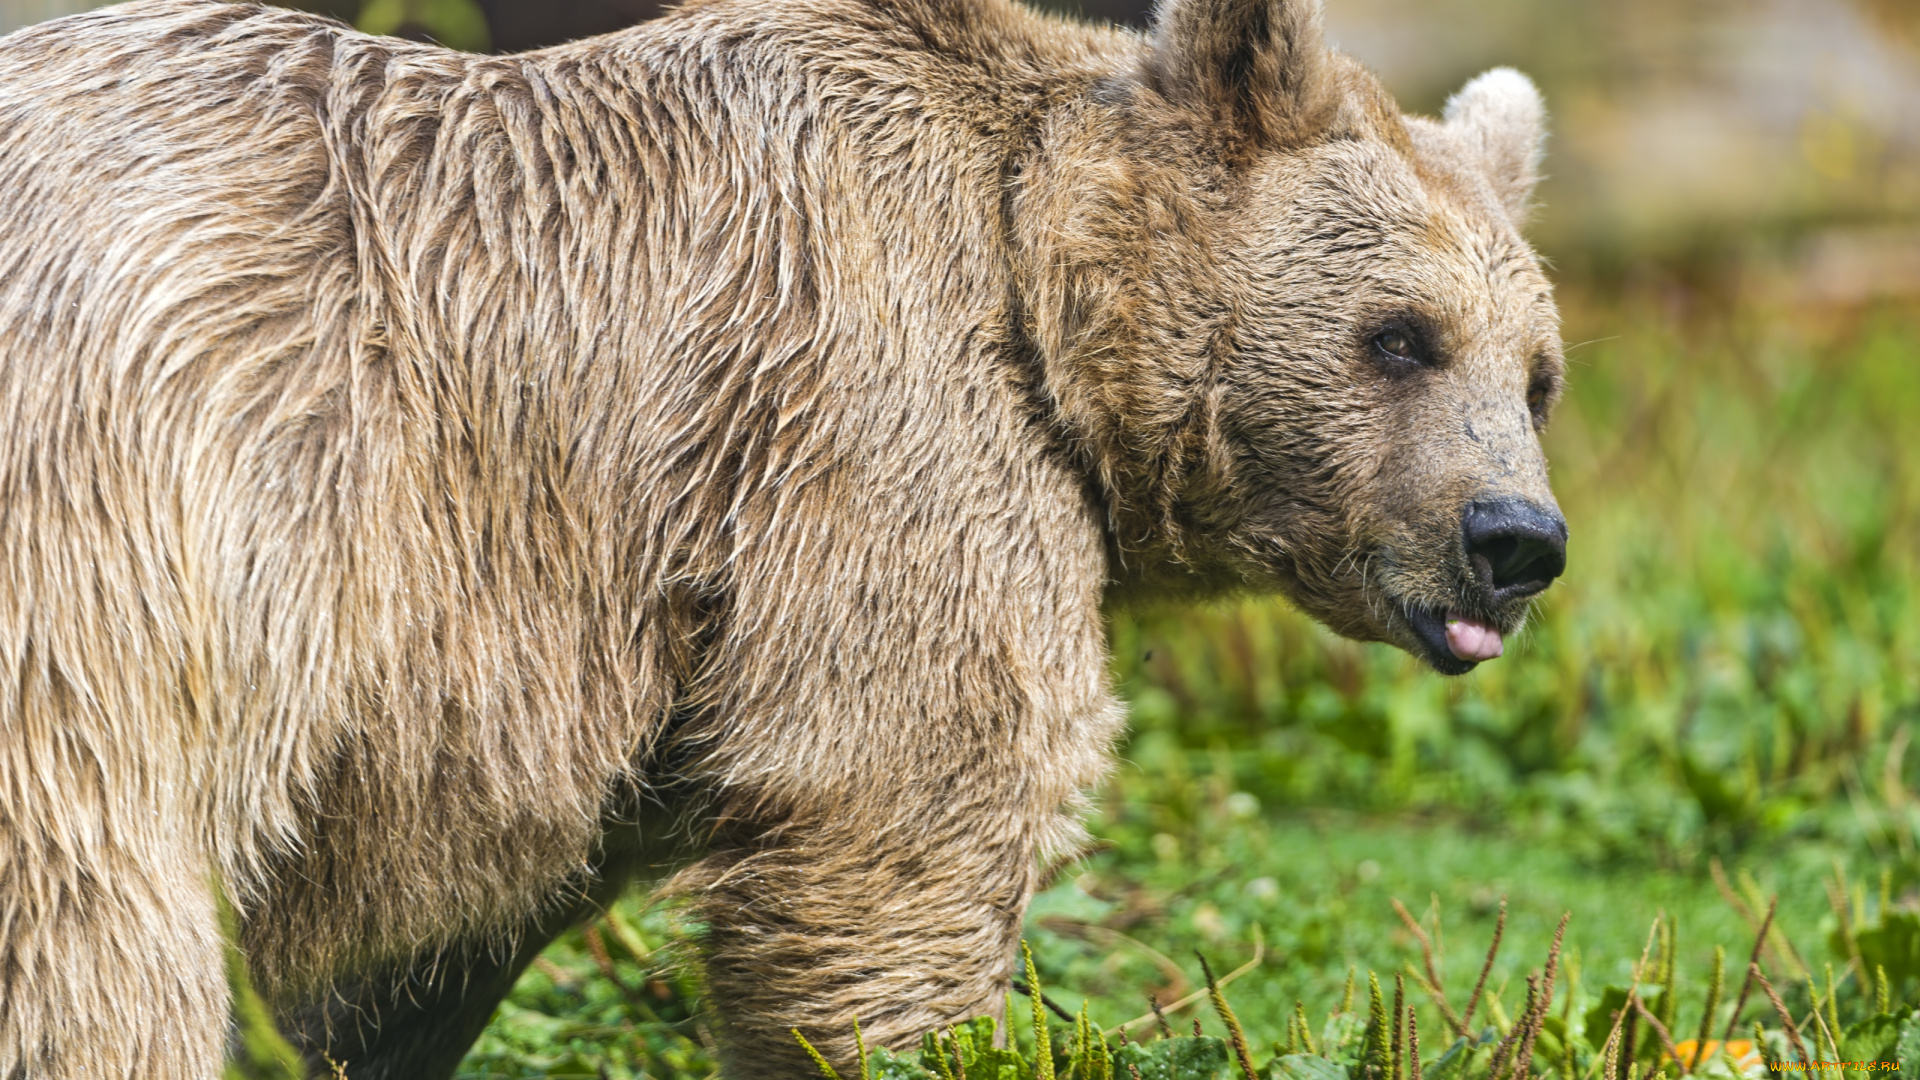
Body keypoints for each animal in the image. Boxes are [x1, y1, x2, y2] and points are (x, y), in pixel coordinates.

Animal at [0, 0, 1559, 1068]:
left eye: (1538, 374)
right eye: (1401, 336)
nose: (1517, 538)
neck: (1041, 293)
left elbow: (433, 942)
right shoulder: (865, 440)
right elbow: (904, 832)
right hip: (126, 525)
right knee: (95, 922)